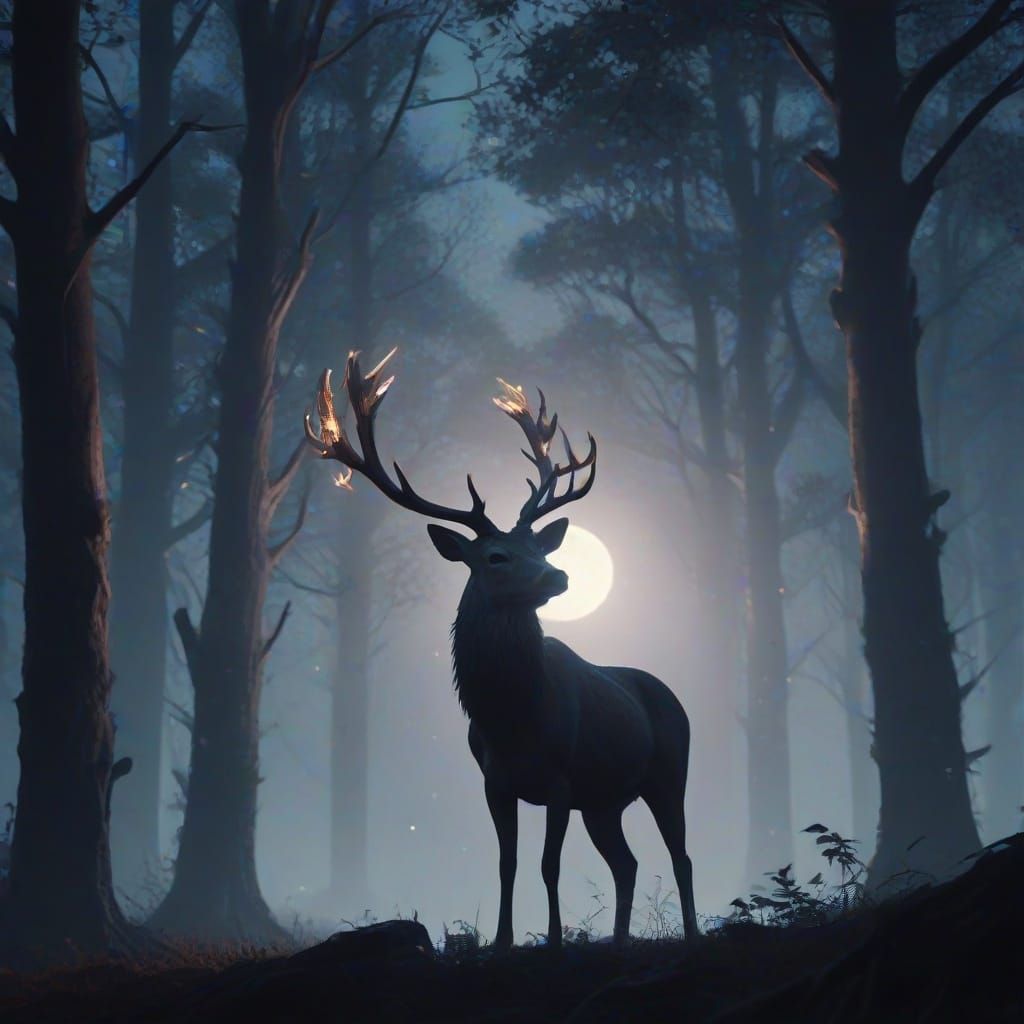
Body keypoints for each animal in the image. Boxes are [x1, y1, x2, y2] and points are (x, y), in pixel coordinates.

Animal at [304, 349, 698, 949]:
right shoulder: (495, 783)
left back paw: (694, 933)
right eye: (495, 557)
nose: (560, 575)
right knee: (626, 864)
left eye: (539, 547)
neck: (511, 719)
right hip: (604, 800)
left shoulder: (560, 777)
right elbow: (506, 864)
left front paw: (554, 939)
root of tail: (673, 696)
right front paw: (503, 939)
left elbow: (548, 865)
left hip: (669, 772)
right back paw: (619, 938)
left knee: (681, 856)